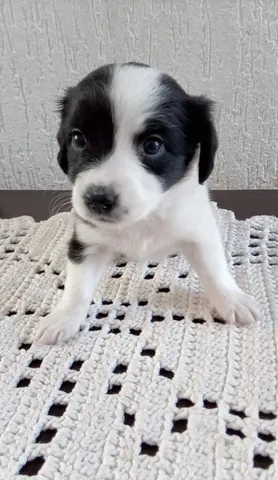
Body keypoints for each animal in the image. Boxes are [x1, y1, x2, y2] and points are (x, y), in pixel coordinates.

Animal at [35, 62, 260, 344]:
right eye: (77, 139)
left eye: (153, 145)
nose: (98, 199)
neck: (144, 218)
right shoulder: (86, 237)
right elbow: (77, 284)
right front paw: (63, 317)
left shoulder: (197, 228)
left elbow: (214, 267)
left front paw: (232, 299)